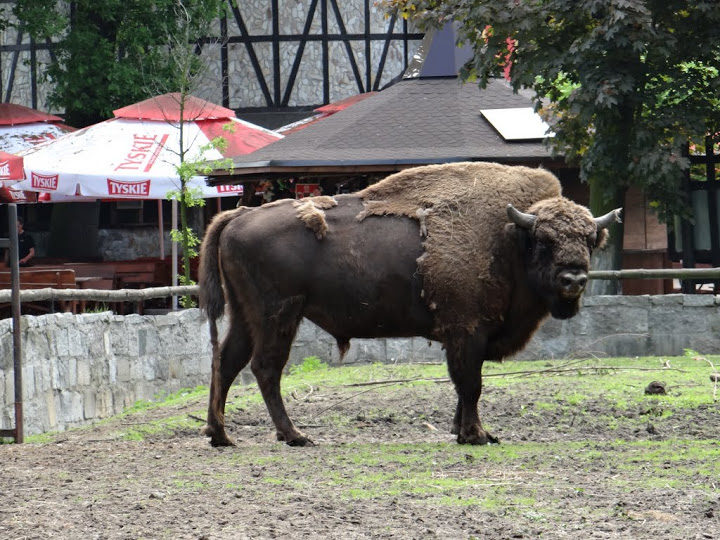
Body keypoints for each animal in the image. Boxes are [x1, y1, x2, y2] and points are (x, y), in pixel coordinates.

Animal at [199, 162, 621, 446]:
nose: (573, 280)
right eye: (545, 242)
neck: (508, 238)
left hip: (246, 315)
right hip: (279, 315)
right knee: (265, 368)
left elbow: (465, 386)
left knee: (227, 360)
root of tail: (239, 214)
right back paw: (295, 435)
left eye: (589, 240)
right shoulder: (466, 331)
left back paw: (221, 434)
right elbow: (471, 384)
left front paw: (464, 430)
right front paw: (476, 434)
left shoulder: (469, 337)